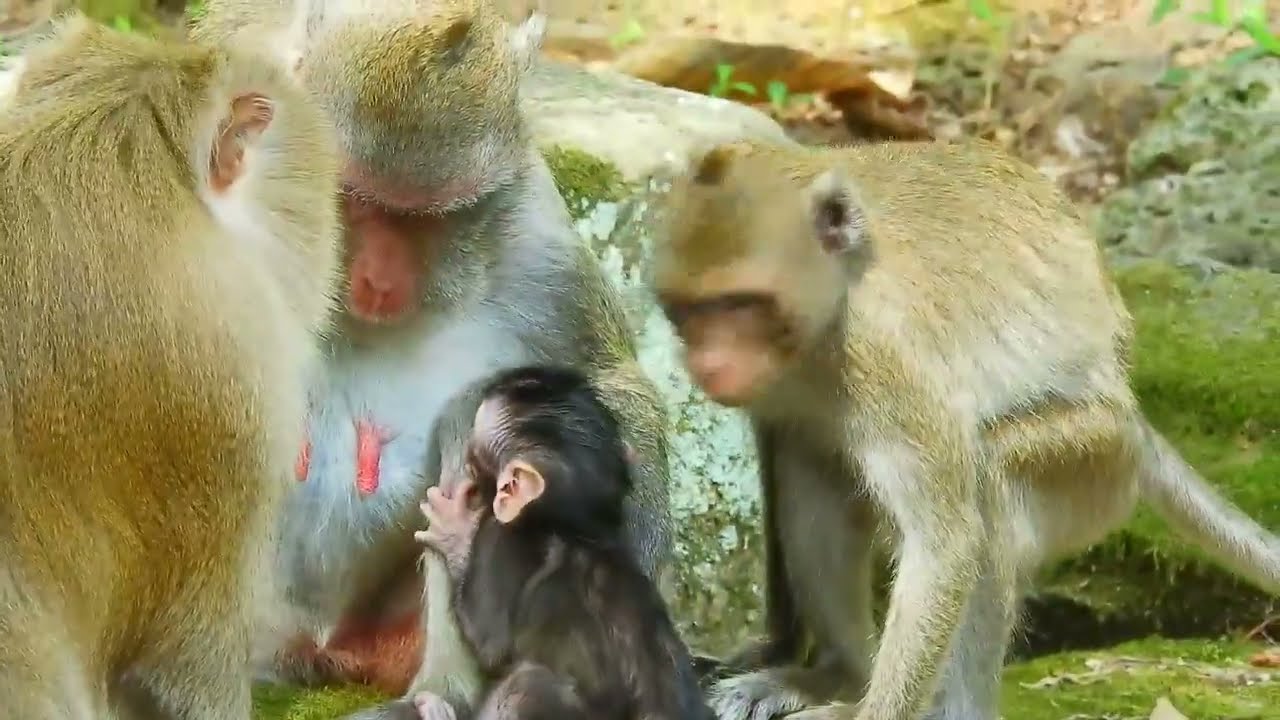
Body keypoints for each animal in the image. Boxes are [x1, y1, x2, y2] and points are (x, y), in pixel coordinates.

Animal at [189, 1, 675, 713]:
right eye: (354, 199)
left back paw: (437, 697)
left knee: (470, 416)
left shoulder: (542, 252)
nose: (377, 281)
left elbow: (609, 384)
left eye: (432, 221)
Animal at [409, 364, 710, 720]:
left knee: (523, 685)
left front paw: (455, 529)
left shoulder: (502, 537)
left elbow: (491, 638)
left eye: (472, 460)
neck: (578, 527)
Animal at [648, 138, 1280, 720]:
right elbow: (782, 450)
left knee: (991, 486)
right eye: (691, 310)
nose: (709, 364)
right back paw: (839, 676)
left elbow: (946, 542)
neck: (827, 315)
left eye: (742, 303)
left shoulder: (883, 360)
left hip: (1098, 462)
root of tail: (1136, 417)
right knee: (809, 464)